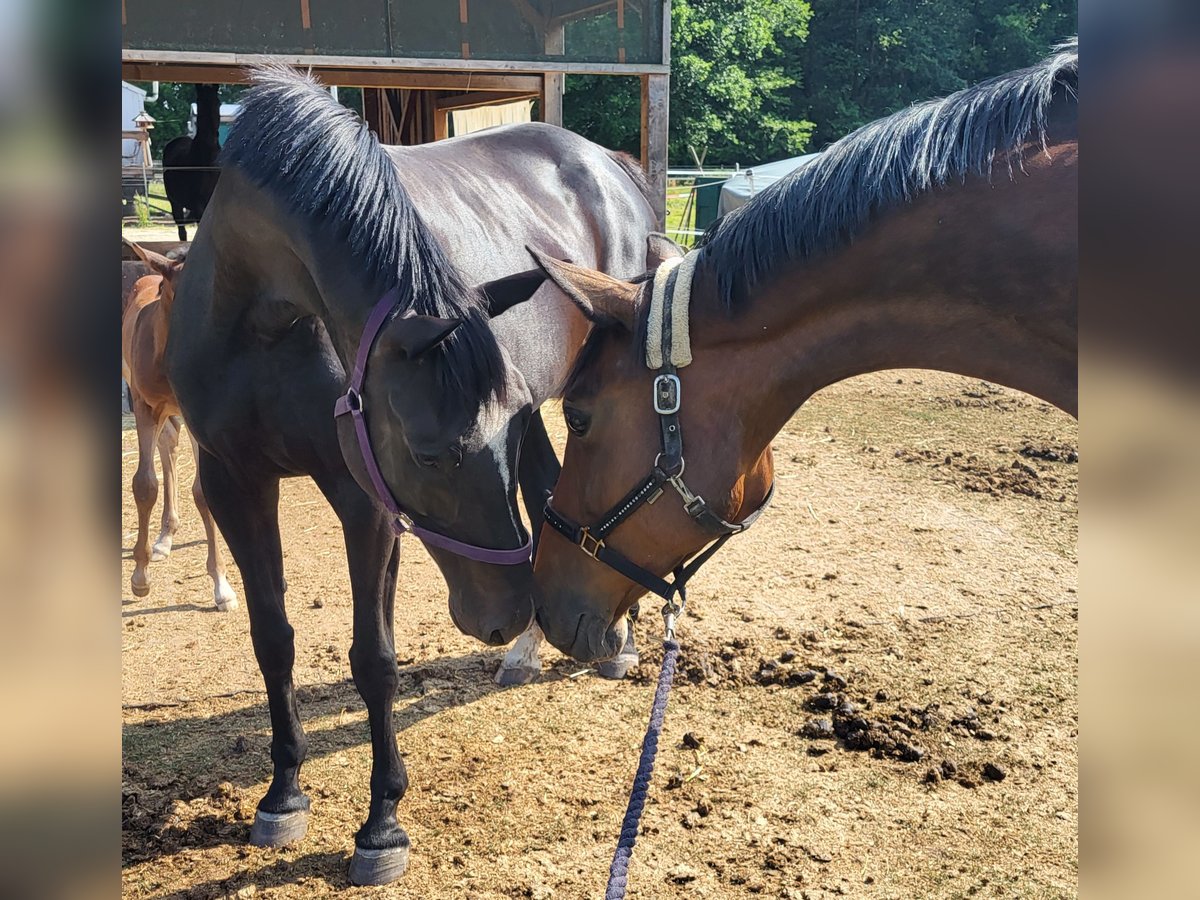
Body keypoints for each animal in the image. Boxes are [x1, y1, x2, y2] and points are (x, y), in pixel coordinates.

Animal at [121, 241, 236, 614]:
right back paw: (162, 539)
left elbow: (204, 491)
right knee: (166, 444)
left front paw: (222, 586)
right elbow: (144, 485)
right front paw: (140, 578)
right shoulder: (144, 407)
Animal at [163, 82, 222, 240]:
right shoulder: (199, 205)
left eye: (218, 102)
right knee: (182, 231)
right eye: (199, 101)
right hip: (174, 202)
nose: (210, 138)